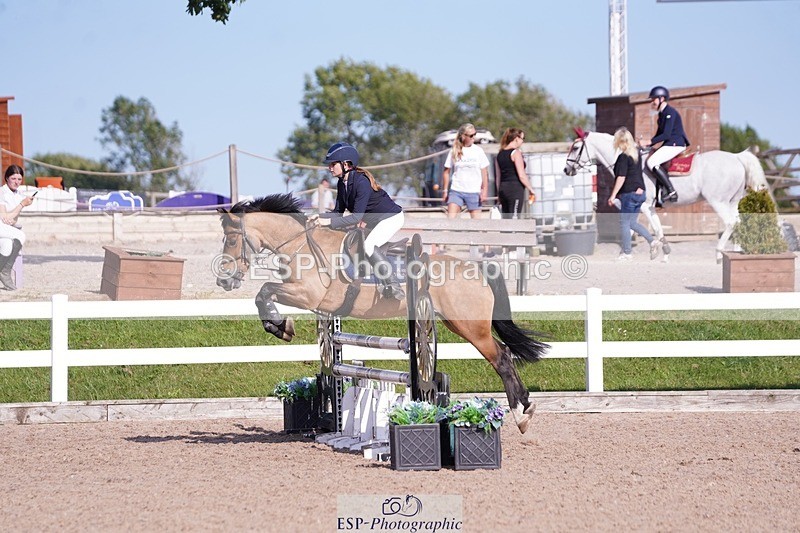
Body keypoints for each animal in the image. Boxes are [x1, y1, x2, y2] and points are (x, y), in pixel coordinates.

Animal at [215, 193, 549, 434]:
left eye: (231, 240)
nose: (224, 281)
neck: (301, 246)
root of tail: (478, 268)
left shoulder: (309, 295)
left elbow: (264, 291)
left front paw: (281, 325)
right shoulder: (318, 305)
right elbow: (265, 295)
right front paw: (280, 326)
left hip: (470, 326)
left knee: (502, 358)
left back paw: (521, 415)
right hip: (456, 323)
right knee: (504, 353)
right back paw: (526, 408)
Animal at [563, 129, 769, 262]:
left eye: (575, 148)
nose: (566, 170)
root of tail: (736, 157)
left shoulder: (645, 205)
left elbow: (647, 228)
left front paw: (649, 250)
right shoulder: (645, 207)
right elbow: (650, 229)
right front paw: (663, 252)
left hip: (718, 201)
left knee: (730, 223)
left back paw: (719, 252)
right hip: (732, 202)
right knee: (739, 222)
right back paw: (736, 251)